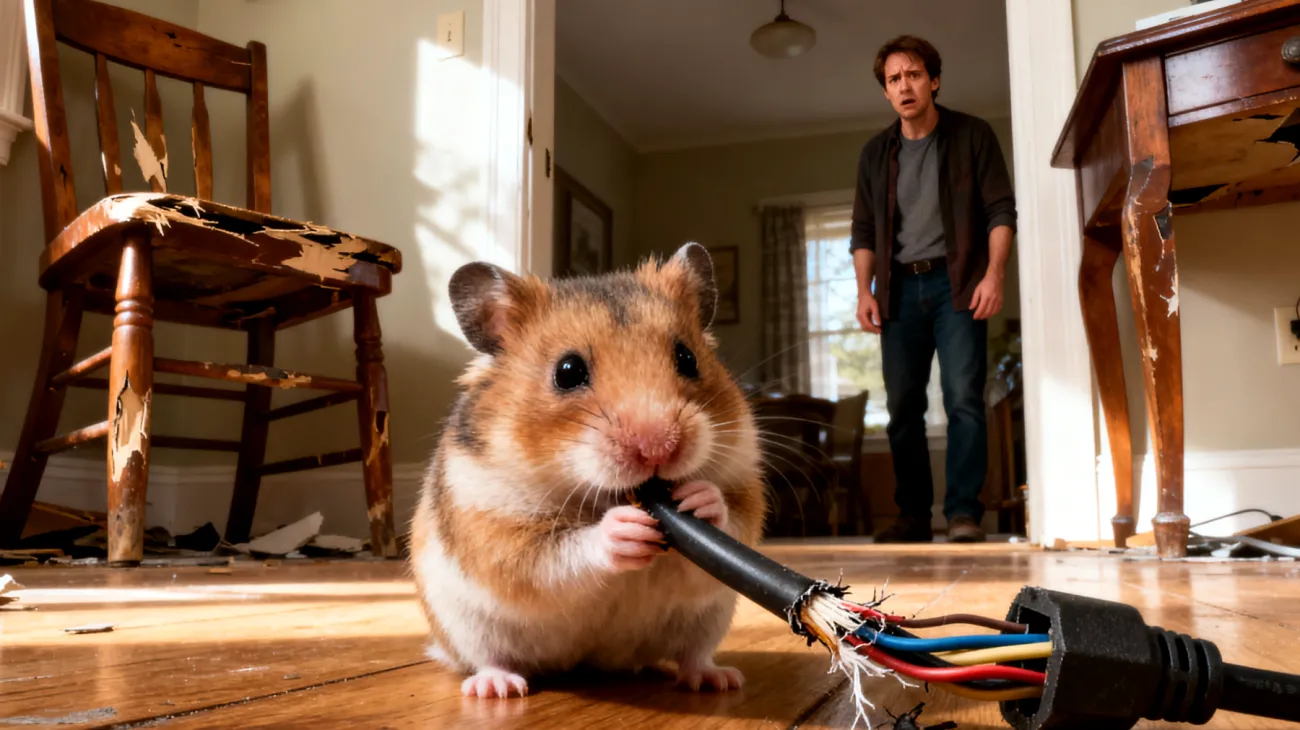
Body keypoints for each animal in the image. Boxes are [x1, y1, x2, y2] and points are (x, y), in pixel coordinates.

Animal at [408, 242, 767, 699]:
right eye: (568, 371)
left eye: (687, 358)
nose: (659, 448)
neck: (595, 493)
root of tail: (594, 662)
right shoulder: (491, 522)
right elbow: (557, 556)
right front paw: (625, 528)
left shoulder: (743, 486)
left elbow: (731, 518)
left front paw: (698, 500)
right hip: (467, 626)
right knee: (489, 658)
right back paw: (498, 687)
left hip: (712, 617)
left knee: (693, 655)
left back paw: (716, 680)